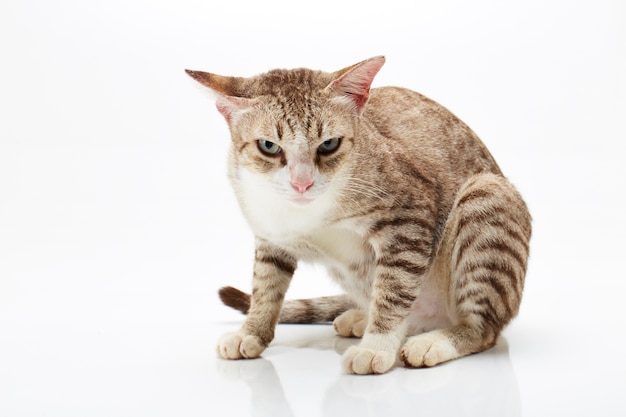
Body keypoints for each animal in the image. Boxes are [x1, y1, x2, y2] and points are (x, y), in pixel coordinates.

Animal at [186, 56, 532, 374]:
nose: (302, 182)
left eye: (329, 144)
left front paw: (376, 346)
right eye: (269, 146)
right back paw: (363, 317)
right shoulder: (270, 234)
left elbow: (394, 290)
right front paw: (252, 332)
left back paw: (434, 340)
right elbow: (265, 286)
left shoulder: (410, 218)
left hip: (486, 197)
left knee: (483, 329)